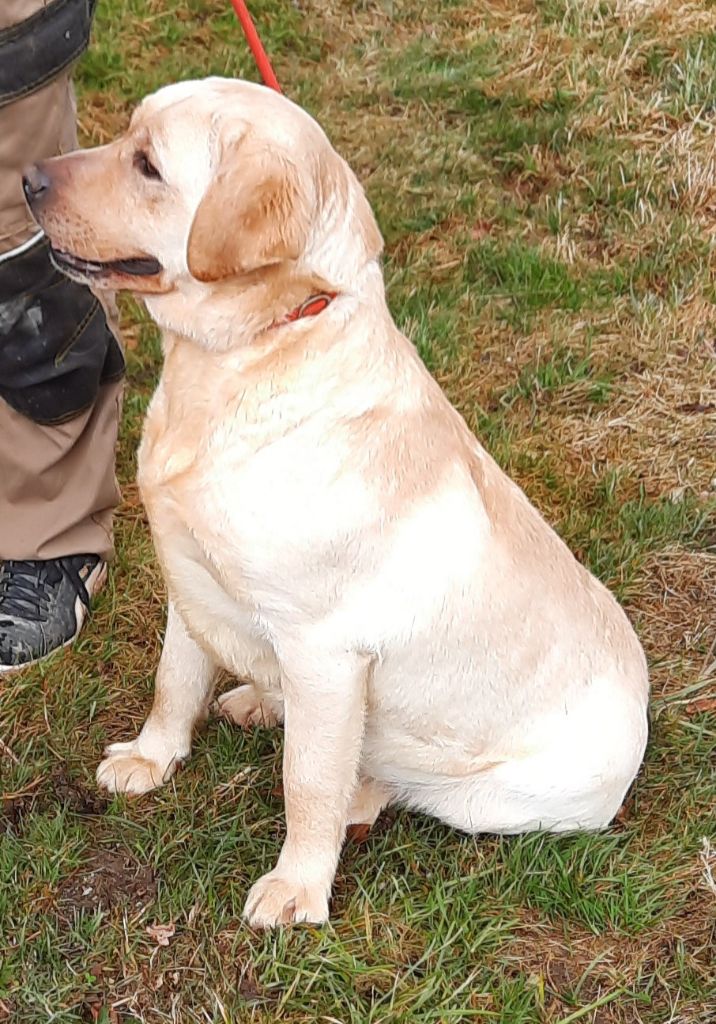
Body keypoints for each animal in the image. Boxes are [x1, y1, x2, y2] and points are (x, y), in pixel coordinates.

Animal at [24, 77, 649, 929]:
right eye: (126, 137)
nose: (26, 180)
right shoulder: (189, 582)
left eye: (147, 165)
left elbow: (308, 781)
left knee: (392, 786)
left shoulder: (325, 651)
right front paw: (152, 759)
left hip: (491, 796)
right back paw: (259, 698)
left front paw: (298, 887)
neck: (251, 354)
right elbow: (174, 681)